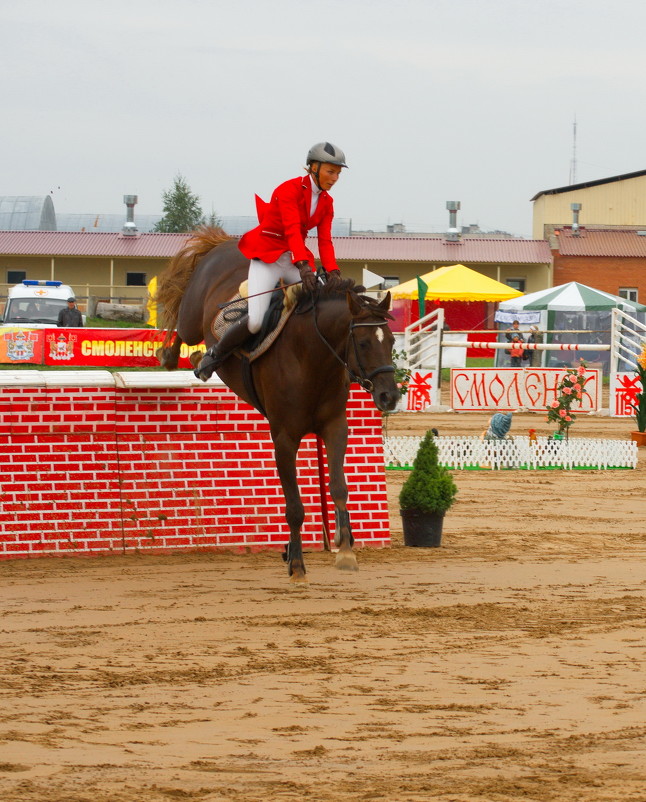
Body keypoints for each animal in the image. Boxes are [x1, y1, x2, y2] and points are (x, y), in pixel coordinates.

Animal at [156, 225, 400, 580]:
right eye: (365, 342)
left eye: (392, 341)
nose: (389, 396)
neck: (313, 357)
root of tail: (224, 244)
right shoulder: (284, 439)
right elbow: (295, 507)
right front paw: (296, 563)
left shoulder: (335, 428)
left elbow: (338, 487)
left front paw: (345, 549)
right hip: (191, 317)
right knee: (179, 320)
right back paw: (178, 356)